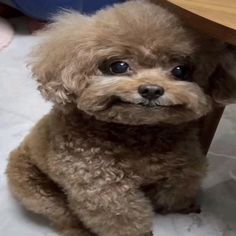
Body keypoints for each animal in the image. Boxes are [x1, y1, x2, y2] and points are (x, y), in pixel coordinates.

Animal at [6, 0, 235, 236]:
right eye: (119, 66)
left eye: (180, 70)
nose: (151, 90)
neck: (137, 132)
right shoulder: (103, 188)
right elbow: (123, 218)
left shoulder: (186, 163)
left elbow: (181, 186)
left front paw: (180, 207)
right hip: (36, 190)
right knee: (63, 216)